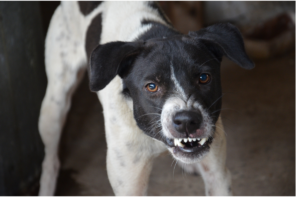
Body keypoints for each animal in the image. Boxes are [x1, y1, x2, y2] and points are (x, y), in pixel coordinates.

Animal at [37, 1, 253, 195]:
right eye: (151, 86)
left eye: (204, 77)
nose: (187, 121)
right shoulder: (129, 186)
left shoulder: (218, 177)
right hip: (54, 105)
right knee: (50, 159)